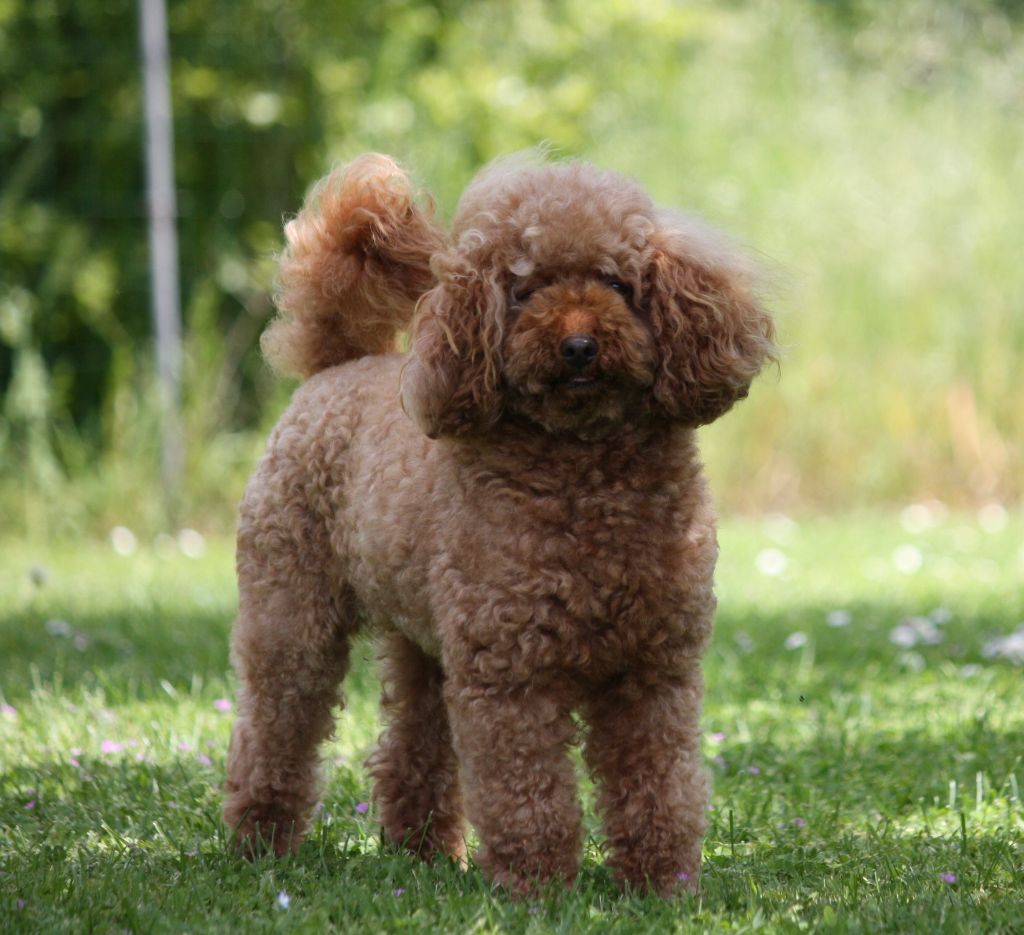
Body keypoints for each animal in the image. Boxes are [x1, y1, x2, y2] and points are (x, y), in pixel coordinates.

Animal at [226, 149, 774, 893]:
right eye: (526, 290)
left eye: (616, 282)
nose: (579, 346)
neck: (582, 471)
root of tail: (338, 366)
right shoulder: (510, 673)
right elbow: (527, 792)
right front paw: (536, 887)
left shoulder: (654, 670)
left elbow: (660, 785)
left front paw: (661, 885)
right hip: (292, 611)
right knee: (277, 720)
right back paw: (260, 840)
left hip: (421, 640)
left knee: (415, 741)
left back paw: (423, 851)